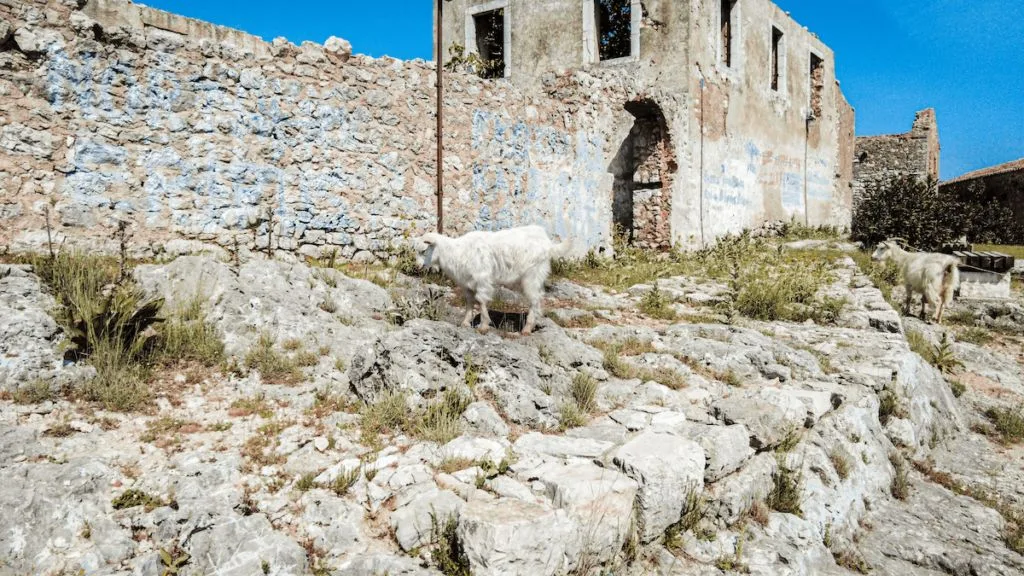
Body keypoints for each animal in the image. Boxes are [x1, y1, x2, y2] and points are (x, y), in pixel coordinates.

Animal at [417, 223, 577, 334]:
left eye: (424, 251)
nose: (418, 266)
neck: (457, 251)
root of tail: (547, 243)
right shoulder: (467, 283)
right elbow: (469, 302)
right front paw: (465, 323)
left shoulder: (482, 279)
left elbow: (481, 301)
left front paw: (483, 326)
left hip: (532, 275)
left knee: (535, 299)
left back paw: (527, 328)